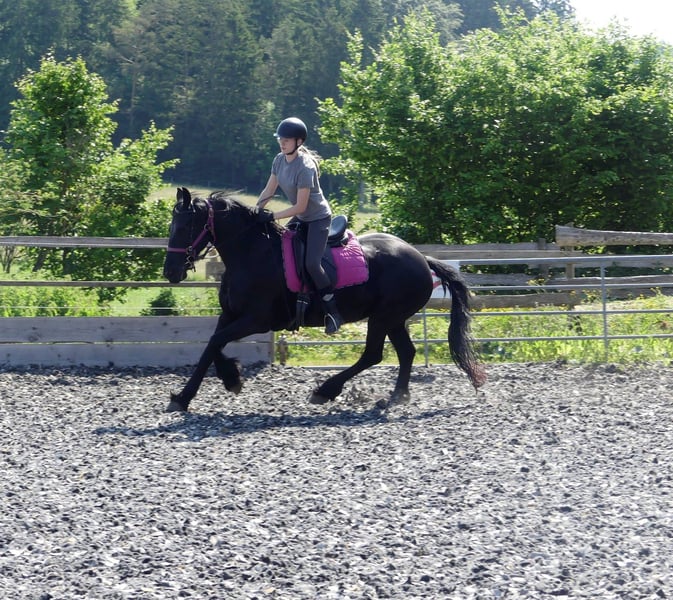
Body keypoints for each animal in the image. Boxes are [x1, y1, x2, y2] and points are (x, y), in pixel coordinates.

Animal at [162, 187, 486, 412]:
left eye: (185, 227)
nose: (170, 272)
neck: (252, 254)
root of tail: (420, 257)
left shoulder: (256, 320)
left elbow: (216, 342)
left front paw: (208, 388)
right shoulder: (229, 316)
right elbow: (211, 346)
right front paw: (217, 383)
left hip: (384, 317)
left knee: (373, 355)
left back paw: (326, 390)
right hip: (393, 319)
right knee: (406, 352)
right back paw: (396, 397)